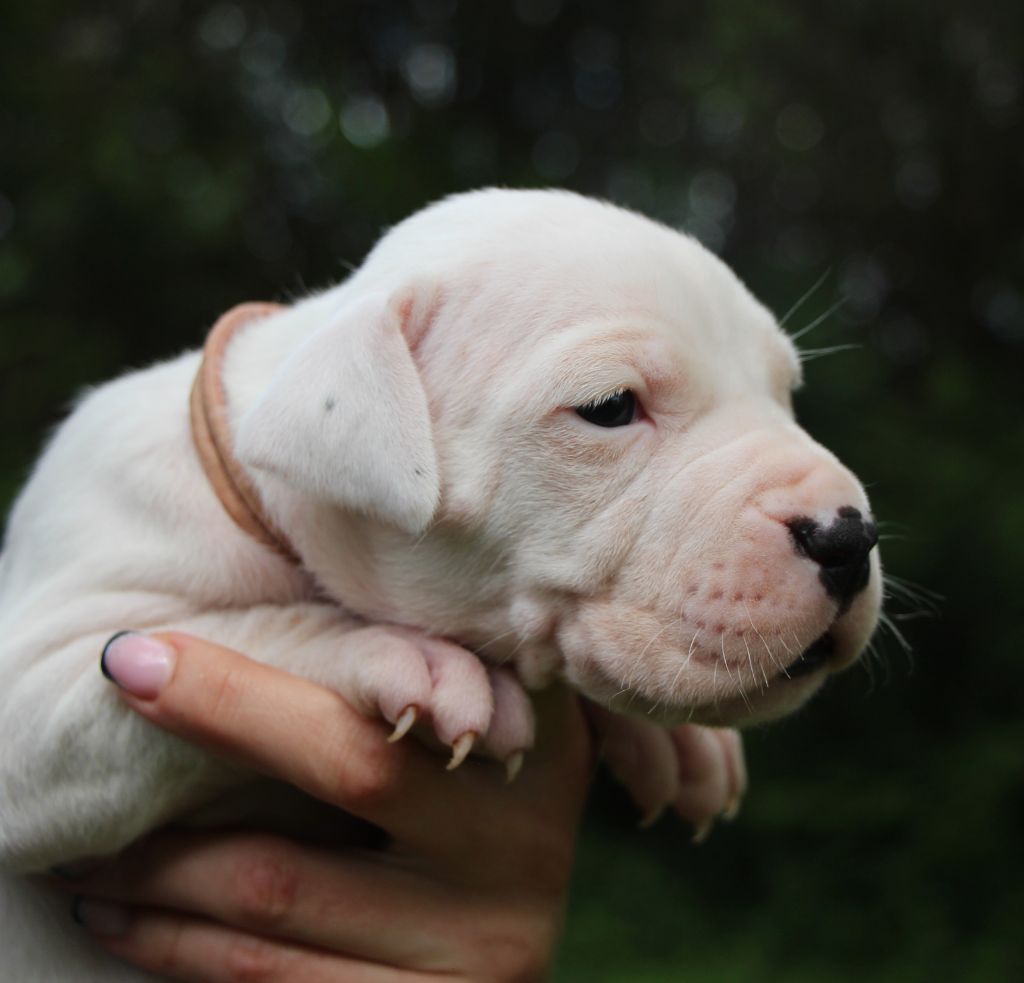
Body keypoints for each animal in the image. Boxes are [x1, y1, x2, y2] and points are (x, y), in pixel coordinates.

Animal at [0, 189, 881, 979]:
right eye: (610, 407)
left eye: (785, 395)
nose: (850, 536)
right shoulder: (34, 706)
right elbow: (245, 625)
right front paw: (414, 659)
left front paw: (680, 743)